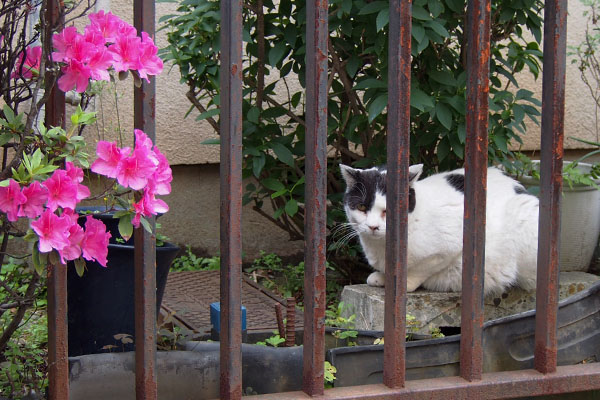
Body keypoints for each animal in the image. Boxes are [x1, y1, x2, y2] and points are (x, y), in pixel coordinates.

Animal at [340, 164, 540, 296]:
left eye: (388, 210)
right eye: (362, 207)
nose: (373, 226)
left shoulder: (450, 245)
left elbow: (422, 268)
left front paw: (405, 283)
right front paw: (381, 277)